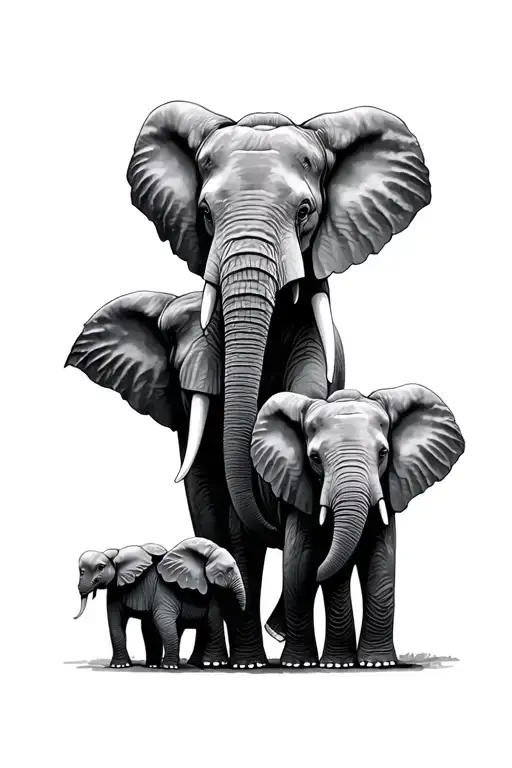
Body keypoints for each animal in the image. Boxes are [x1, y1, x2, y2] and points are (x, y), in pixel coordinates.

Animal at [74, 538, 246, 669]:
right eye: (229, 570)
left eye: (100, 567)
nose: (74, 617)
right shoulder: (118, 588)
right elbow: (121, 622)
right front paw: (121, 666)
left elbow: (165, 620)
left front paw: (171, 666)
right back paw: (156, 665)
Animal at [250, 384, 465, 667]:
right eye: (314, 458)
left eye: (383, 453)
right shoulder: (300, 488)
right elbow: (300, 560)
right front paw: (315, 664)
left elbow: (380, 558)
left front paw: (377, 663)